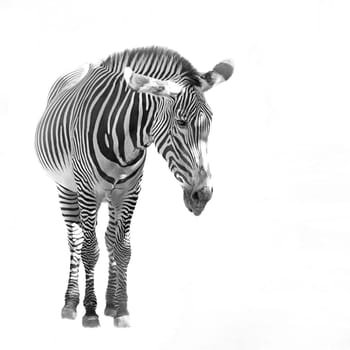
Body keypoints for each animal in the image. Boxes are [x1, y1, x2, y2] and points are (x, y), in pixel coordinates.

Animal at [34, 45, 234, 326]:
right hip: (67, 188)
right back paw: (71, 303)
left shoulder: (130, 191)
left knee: (107, 237)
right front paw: (91, 311)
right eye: (181, 122)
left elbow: (123, 248)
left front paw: (121, 309)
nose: (202, 195)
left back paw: (109, 302)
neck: (125, 138)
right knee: (75, 240)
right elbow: (89, 250)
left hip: (111, 196)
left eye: (211, 122)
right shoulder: (87, 191)